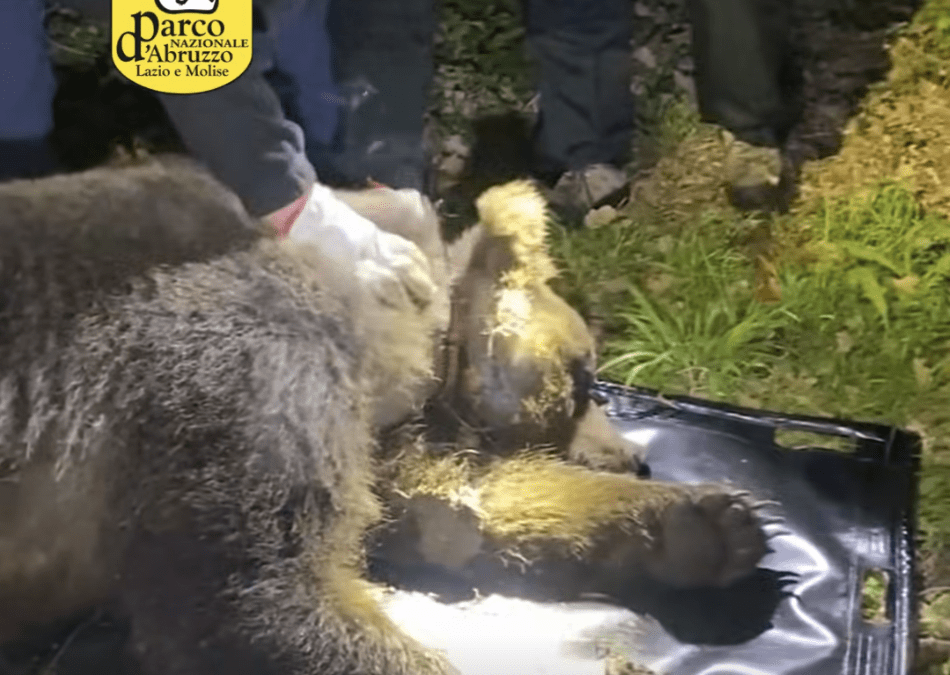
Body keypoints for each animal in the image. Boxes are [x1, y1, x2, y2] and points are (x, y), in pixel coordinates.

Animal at [0, 158, 767, 675]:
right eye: (584, 377)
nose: (634, 454)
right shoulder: (242, 382)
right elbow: (253, 596)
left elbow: (453, 510)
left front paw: (705, 525)